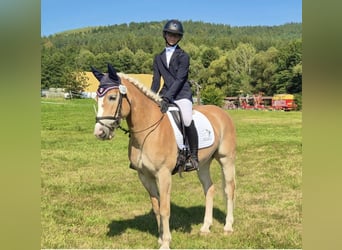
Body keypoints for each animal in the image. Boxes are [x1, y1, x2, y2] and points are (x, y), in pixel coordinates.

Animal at [91, 64, 235, 248]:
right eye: (97, 97)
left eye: (112, 97)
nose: (99, 132)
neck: (148, 131)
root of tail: (221, 112)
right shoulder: (145, 176)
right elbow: (156, 207)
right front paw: (160, 237)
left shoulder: (164, 174)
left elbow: (165, 208)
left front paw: (166, 242)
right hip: (203, 164)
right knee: (209, 189)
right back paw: (205, 228)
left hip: (226, 159)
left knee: (229, 189)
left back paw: (228, 227)